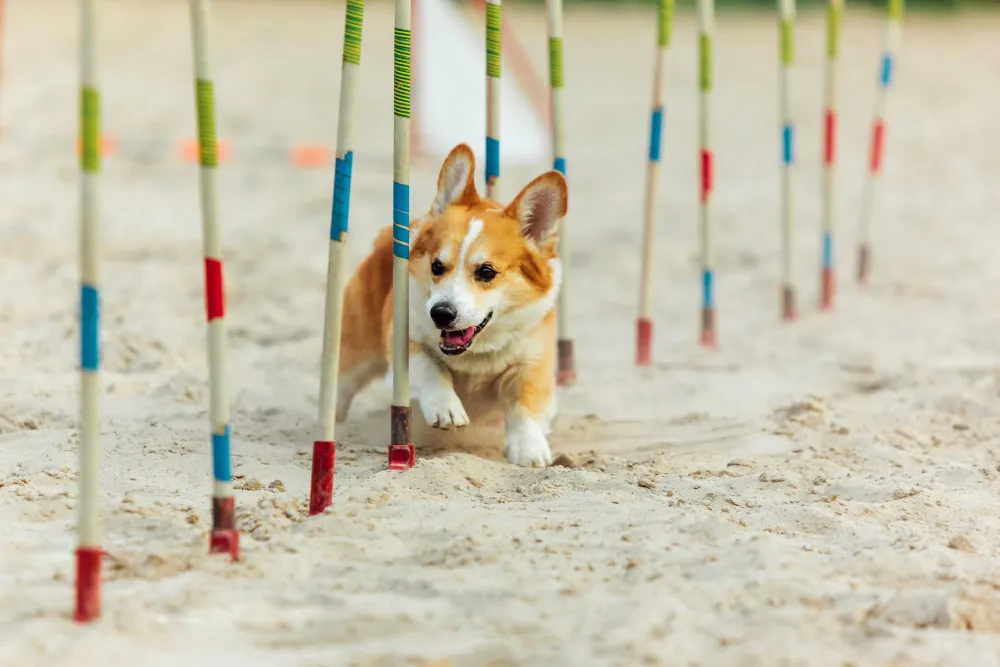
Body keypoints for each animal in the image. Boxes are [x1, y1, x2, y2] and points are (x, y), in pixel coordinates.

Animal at [336, 144, 572, 468]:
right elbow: (430, 367)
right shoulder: (403, 338)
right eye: (437, 265)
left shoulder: (532, 361)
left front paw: (530, 450)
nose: (441, 314)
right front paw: (445, 407)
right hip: (355, 355)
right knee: (340, 393)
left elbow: (524, 402)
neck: (476, 354)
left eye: (486, 272)